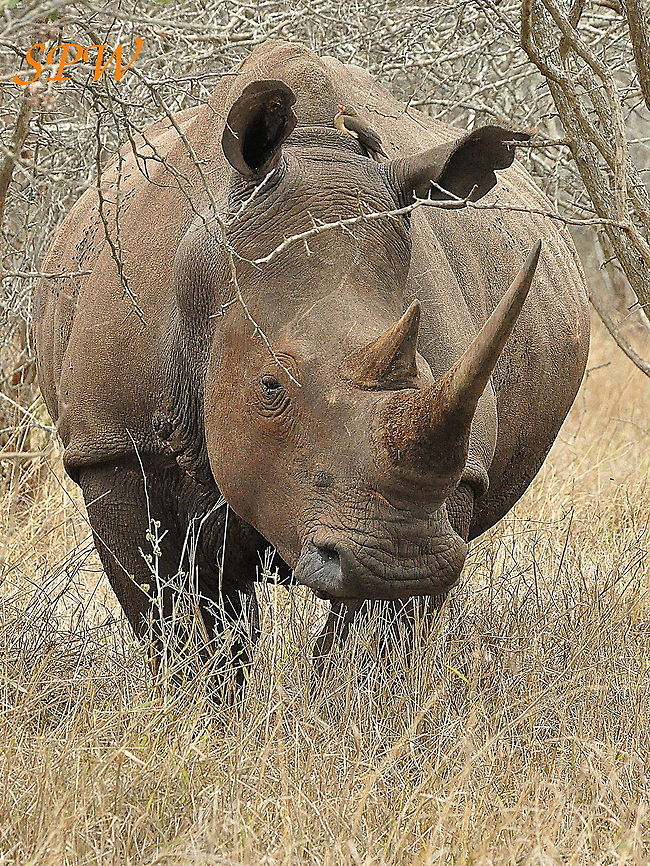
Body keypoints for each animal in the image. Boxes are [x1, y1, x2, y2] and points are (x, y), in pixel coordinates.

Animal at [34, 41, 589, 677]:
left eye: (426, 373)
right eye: (270, 387)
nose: (403, 562)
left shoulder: (452, 478)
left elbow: (374, 631)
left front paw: (347, 690)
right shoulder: (115, 444)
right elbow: (172, 611)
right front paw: (204, 693)